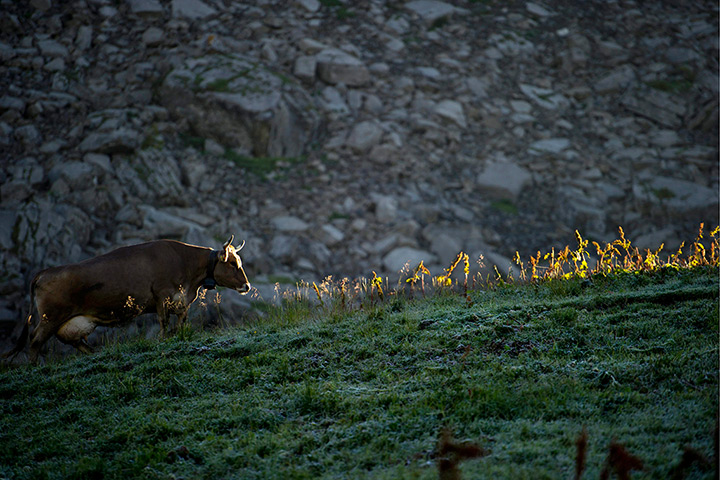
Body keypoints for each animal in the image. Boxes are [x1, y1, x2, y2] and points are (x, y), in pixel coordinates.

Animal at [4, 236, 251, 362]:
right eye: (232, 263)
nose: (247, 286)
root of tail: (44, 272)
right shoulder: (161, 296)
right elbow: (163, 324)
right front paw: (162, 341)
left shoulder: (181, 303)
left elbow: (180, 325)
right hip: (50, 316)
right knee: (35, 341)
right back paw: (34, 367)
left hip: (68, 322)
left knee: (74, 341)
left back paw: (94, 353)